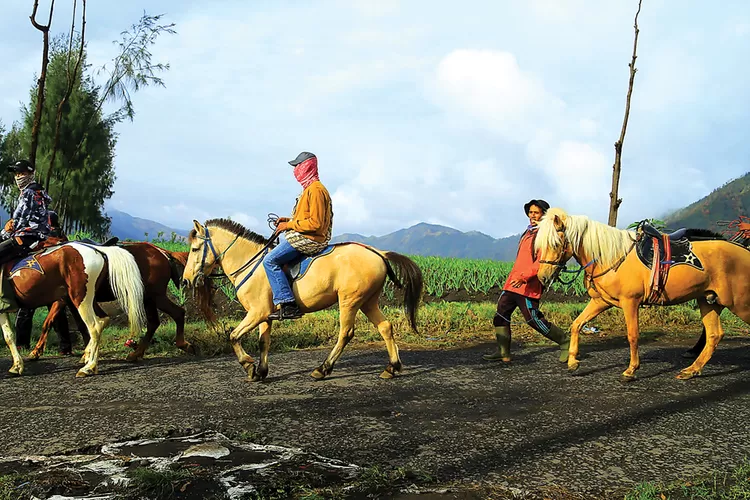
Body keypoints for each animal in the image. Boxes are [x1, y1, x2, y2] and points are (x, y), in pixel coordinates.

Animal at [1, 244, 146, 376]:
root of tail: (98, 250)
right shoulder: (3, 311)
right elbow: (9, 336)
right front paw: (17, 366)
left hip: (80, 298)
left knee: (95, 326)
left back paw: (89, 367)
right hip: (88, 299)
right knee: (103, 319)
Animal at [26, 244, 214, 362]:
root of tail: (162, 252)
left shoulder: (68, 299)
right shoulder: (64, 299)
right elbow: (48, 322)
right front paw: (36, 351)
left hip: (155, 296)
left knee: (177, 313)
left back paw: (183, 345)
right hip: (148, 298)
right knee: (154, 322)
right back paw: (136, 353)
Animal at [536, 207, 750, 382]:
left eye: (556, 243)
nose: (542, 277)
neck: (612, 257)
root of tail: (745, 250)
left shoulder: (630, 302)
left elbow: (632, 335)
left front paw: (631, 370)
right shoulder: (600, 301)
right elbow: (576, 324)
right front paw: (573, 361)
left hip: (740, 303)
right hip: (708, 300)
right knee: (714, 335)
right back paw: (691, 370)